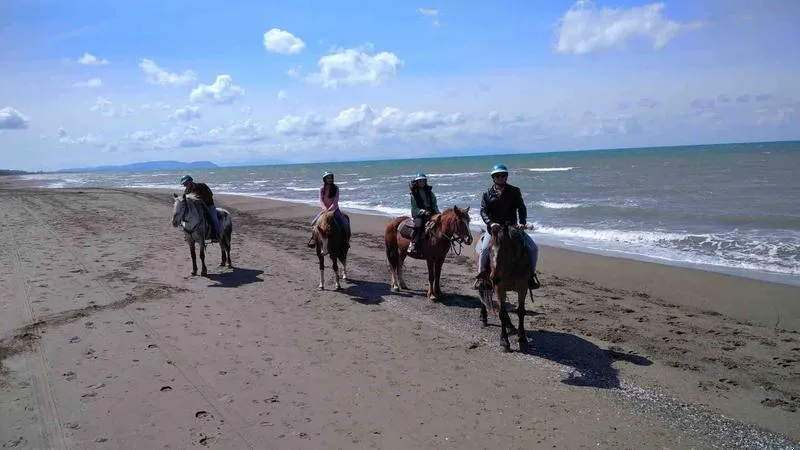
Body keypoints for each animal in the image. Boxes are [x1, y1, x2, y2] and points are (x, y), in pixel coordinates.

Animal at [474, 223, 534, 353]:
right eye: (489, 250)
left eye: (506, 251)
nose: (494, 278)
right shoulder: (499, 288)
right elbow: (501, 313)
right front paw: (504, 341)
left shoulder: (522, 288)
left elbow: (520, 311)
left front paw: (522, 338)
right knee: (483, 293)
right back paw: (484, 318)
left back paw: (510, 325)